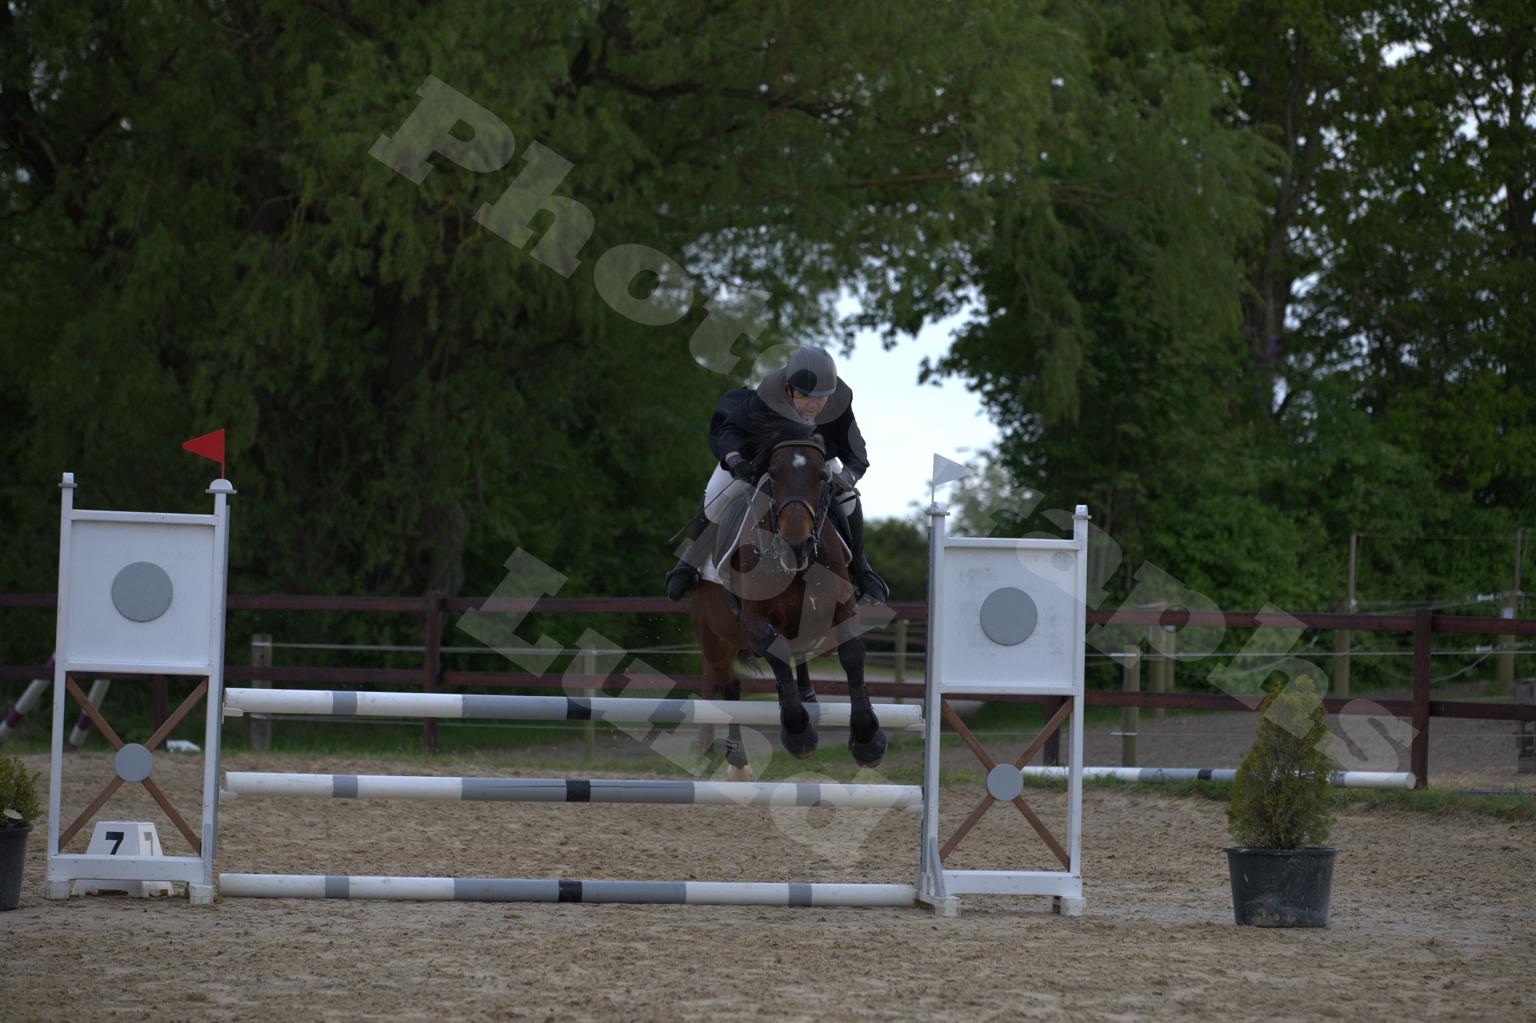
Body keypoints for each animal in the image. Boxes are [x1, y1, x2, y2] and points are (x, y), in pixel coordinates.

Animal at [689, 427, 888, 780]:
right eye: (773, 475)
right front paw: (798, 735)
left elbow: (852, 655)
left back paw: (808, 698)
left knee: (795, 657)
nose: (795, 543)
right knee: (731, 685)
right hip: (715, 638)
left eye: (822, 476)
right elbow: (776, 651)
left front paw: (868, 740)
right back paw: (739, 762)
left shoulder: (841, 610)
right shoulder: (754, 620)